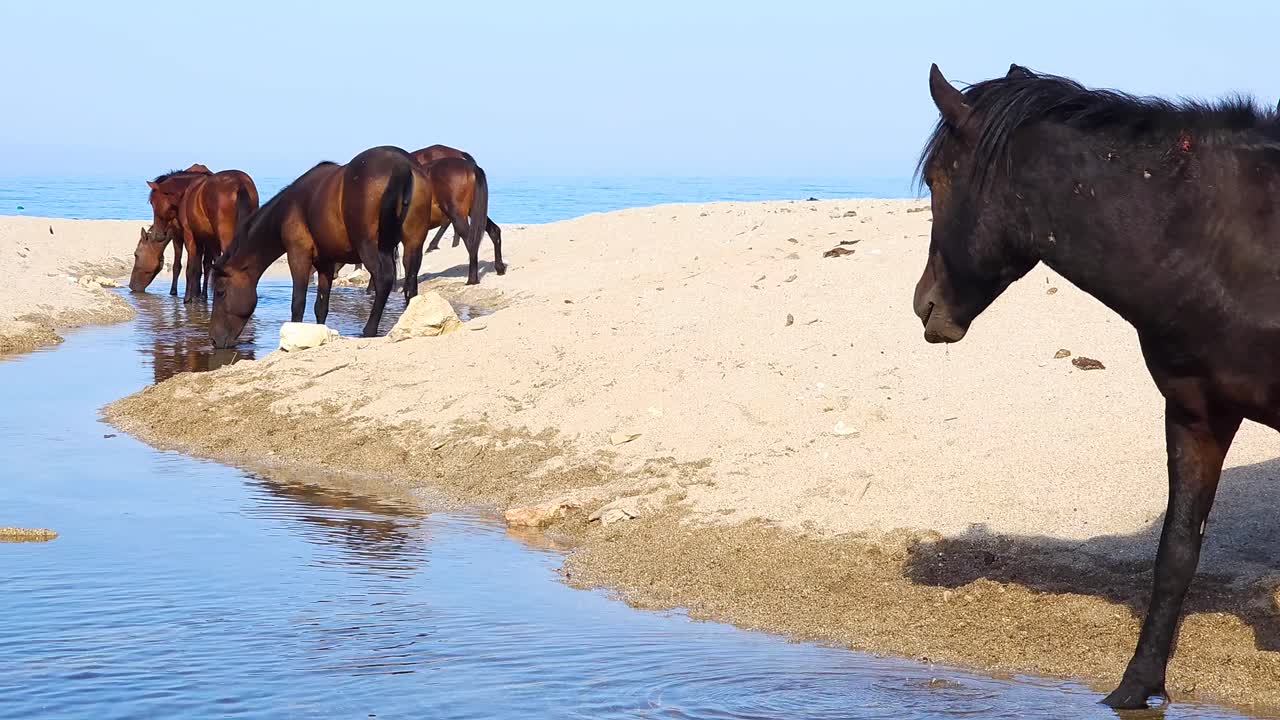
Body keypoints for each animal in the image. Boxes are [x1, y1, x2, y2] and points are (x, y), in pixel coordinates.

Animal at [209, 146, 432, 348]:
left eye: (220, 292)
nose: (213, 339)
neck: (290, 208)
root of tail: (401, 165)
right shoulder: (326, 262)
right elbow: (320, 306)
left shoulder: (298, 256)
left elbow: (298, 303)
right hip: (413, 244)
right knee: (410, 284)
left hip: (368, 246)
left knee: (383, 279)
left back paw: (369, 330)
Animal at [913, 63, 1280, 709]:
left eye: (937, 178)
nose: (923, 304)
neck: (1227, 243)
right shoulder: (1197, 414)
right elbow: (1176, 552)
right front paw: (1136, 687)